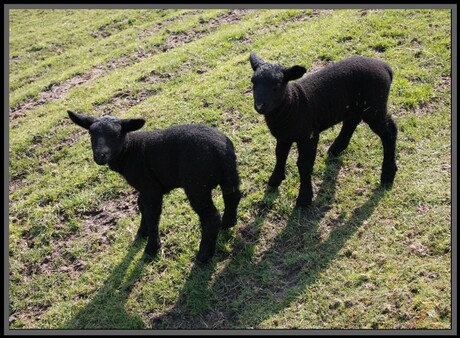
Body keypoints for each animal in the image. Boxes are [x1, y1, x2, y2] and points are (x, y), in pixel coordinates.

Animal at [69, 111, 241, 264]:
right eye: (91, 134)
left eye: (116, 134)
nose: (100, 156)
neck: (130, 151)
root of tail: (219, 150)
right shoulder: (146, 187)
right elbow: (141, 205)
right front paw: (142, 232)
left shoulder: (150, 187)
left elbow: (153, 215)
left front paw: (152, 248)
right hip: (229, 174)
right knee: (233, 196)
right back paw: (228, 223)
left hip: (197, 184)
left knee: (211, 217)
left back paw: (203, 255)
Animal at [250, 52, 398, 206]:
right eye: (253, 82)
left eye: (277, 84)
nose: (259, 106)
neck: (293, 103)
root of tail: (385, 67)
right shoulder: (283, 137)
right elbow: (280, 156)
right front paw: (275, 180)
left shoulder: (309, 136)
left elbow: (304, 164)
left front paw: (304, 198)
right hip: (356, 106)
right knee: (351, 121)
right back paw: (336, 148)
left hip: (374, 106)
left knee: (389, 132)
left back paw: (388, 174)